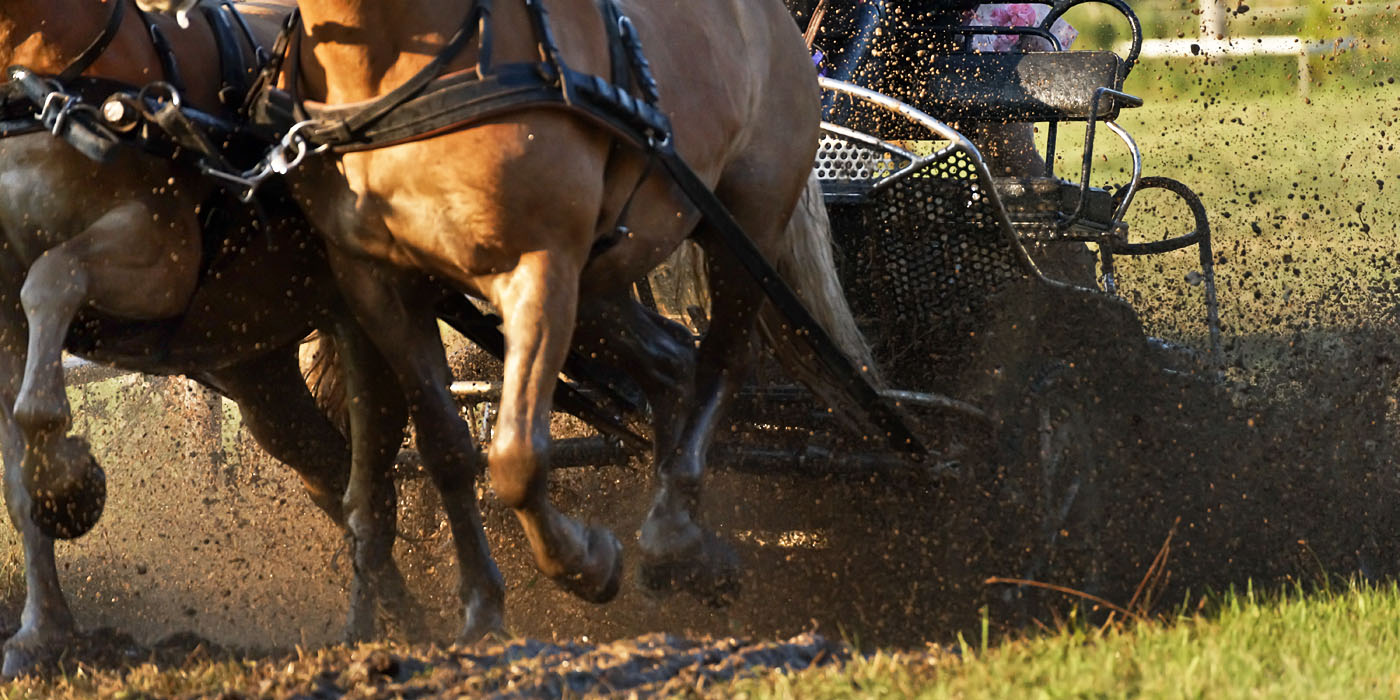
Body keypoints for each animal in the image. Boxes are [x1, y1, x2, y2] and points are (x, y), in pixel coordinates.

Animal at [0, 0, 420, 677]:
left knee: (372, 492)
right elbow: (17, 481)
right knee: (336, 480)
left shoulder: (162, 255)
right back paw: (408, 621)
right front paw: (40, 635)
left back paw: (378, 633)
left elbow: (52, 280)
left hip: (367, 330)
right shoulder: (0, 300)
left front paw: (69, 484)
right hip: (263, 383)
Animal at [144, 0, 884, 641]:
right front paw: (480, 612)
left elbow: (516, 454)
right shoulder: (379, 287)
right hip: (610, 275)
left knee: (722, 361)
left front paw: (585, 561)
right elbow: (447, 447)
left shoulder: (541, 266)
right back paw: (679, 537)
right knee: (673, 359)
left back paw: (675, 537)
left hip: (745, 225)